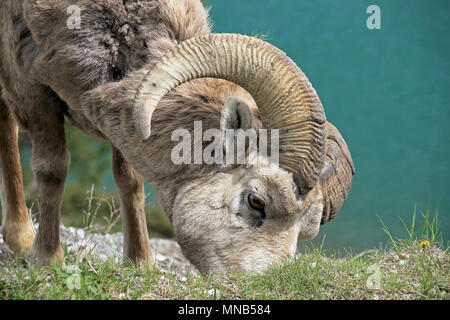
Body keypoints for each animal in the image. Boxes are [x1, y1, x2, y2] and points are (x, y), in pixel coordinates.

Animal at [0, 0, 354, 276]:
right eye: (257, 201)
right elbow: (53, 170)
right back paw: (21, 241)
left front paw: (140, 263)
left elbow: (129, 180)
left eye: (304, 232)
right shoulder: (30, 88)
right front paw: (47, 261)